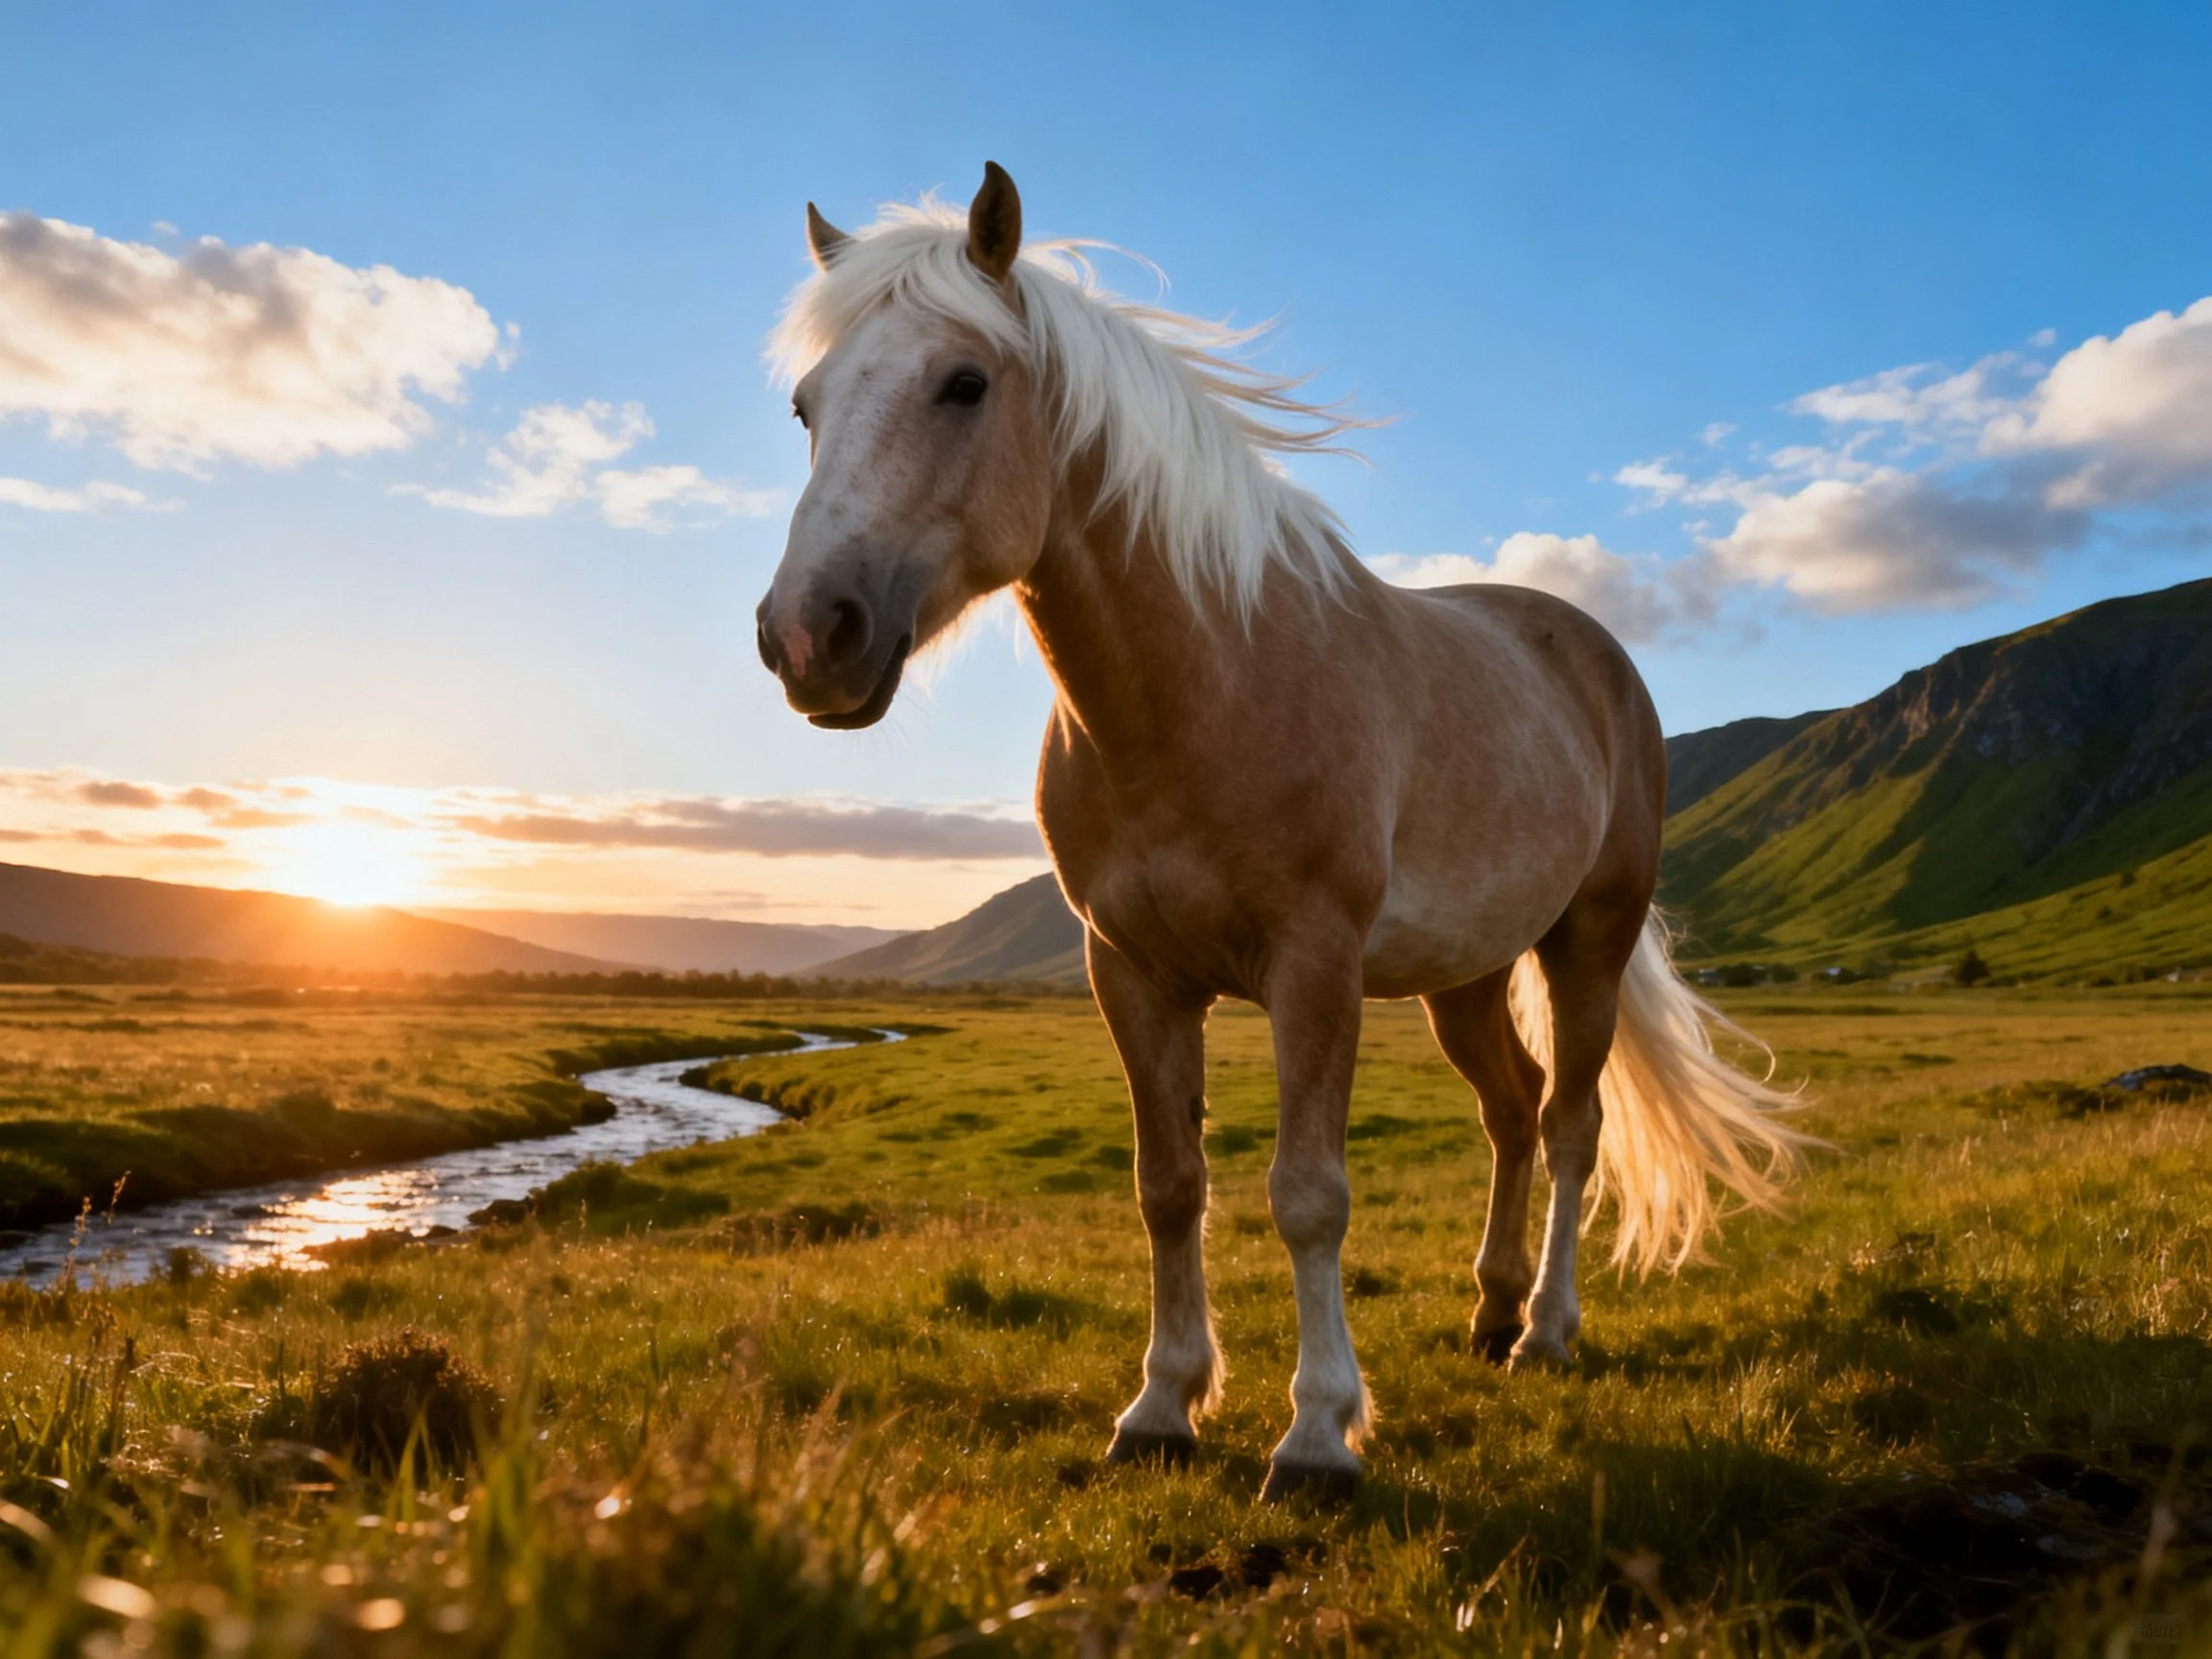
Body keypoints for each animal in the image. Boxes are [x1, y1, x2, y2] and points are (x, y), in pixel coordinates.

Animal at [755, 163, 1808, 1501]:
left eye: (965, 383)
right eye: (805, 407)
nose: (808, 635)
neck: (1203, 690)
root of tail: (1589, 646)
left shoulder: (1314, 966)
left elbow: (1307, 1195)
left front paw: (1316, 1433)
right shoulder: (1130, 971)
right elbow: (1169, 1186)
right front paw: (1161, 1408)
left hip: (1590, 942)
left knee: (1573, 1126)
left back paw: (1549, 1334)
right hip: (1463, 977)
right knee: (1512, 1111)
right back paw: (1491, 1313)